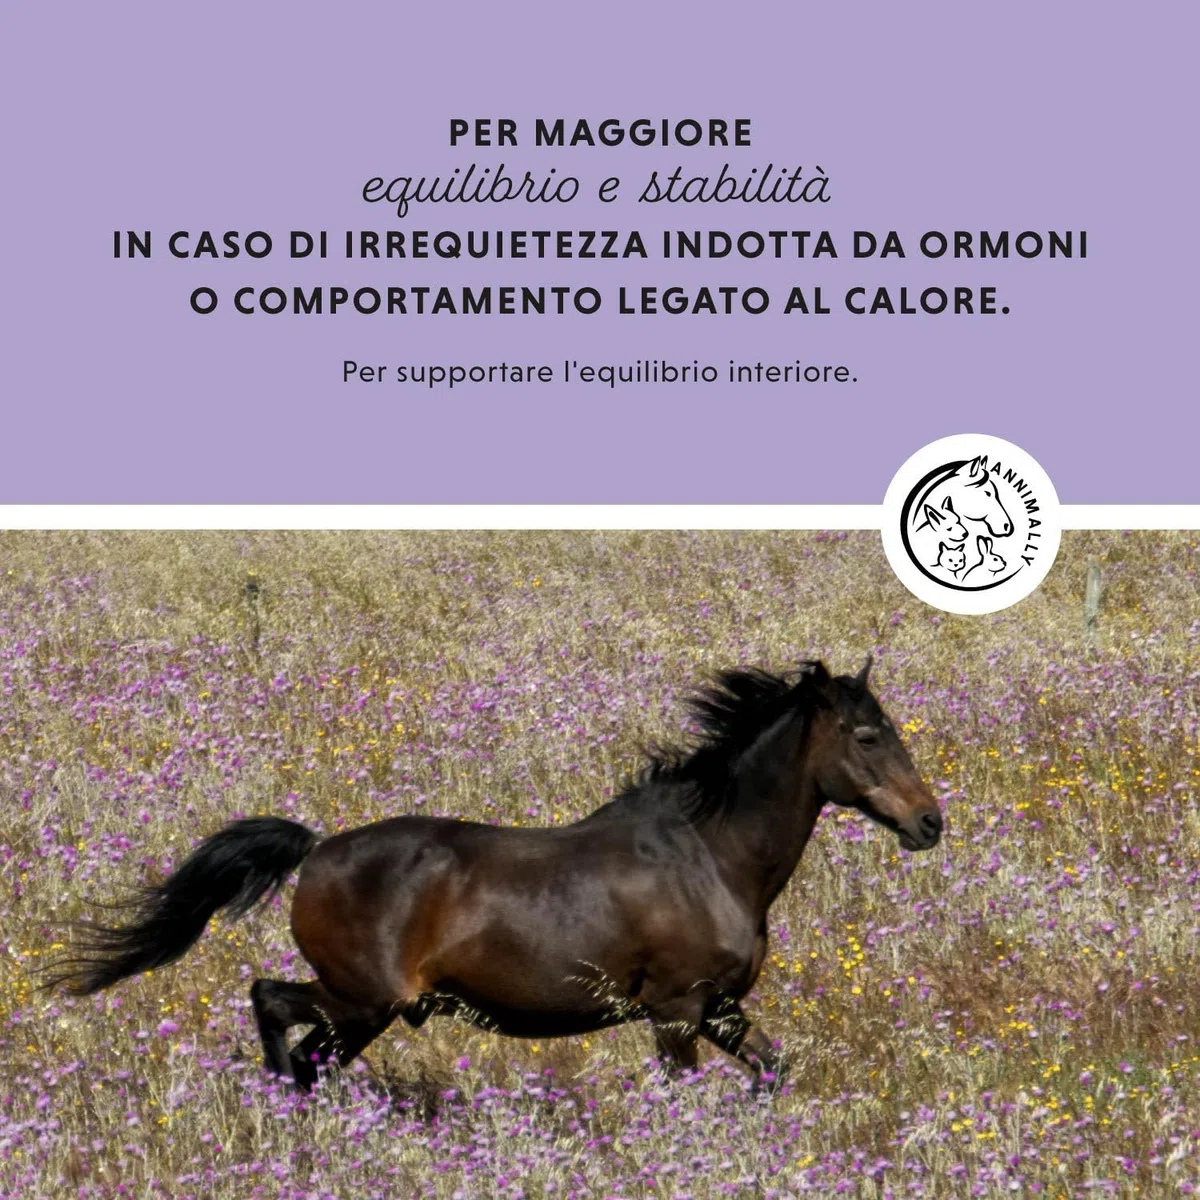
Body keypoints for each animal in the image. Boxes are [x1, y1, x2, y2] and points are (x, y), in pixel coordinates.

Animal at [46, 656, 944, 1093]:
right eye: (868, 736)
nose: (930, 823)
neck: (709, 856)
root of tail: (318, 849)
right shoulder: (676, 1012)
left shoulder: (721, 1011)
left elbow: (773, 1075)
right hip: (364, 998)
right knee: (272, 1005)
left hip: (365, 1012)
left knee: (308, 1054)